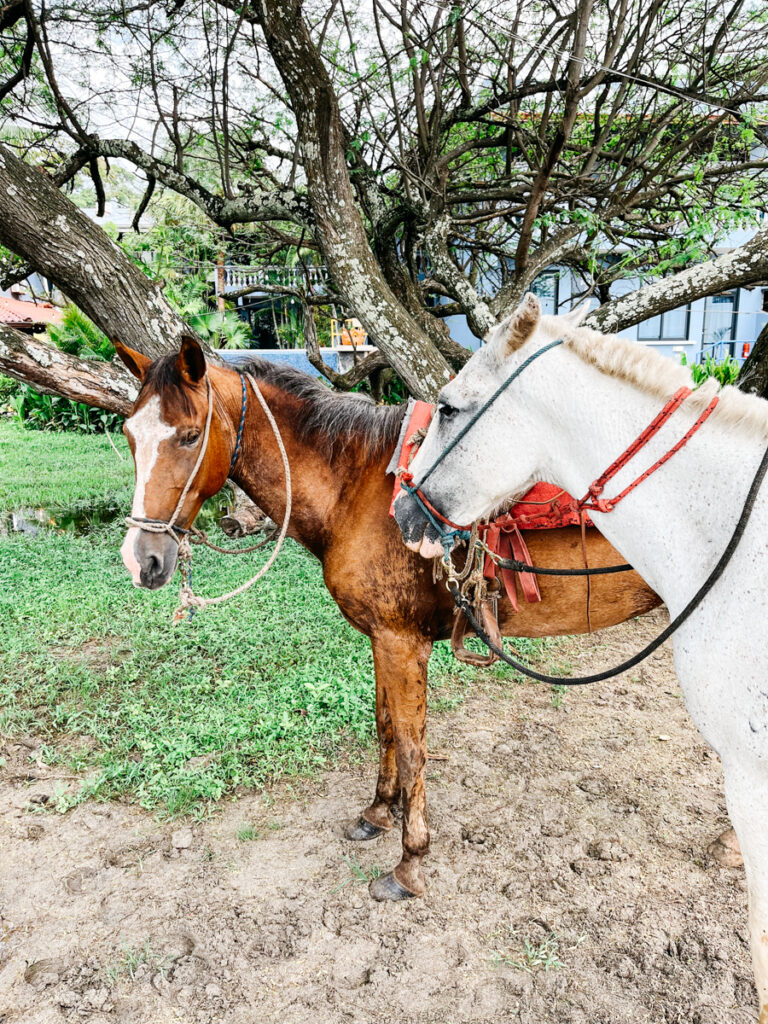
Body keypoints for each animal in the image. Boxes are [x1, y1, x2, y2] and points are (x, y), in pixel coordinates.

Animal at [114, 335, 660, 903]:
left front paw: (409, 862)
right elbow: (385, 727)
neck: (357, 487)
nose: (141, 559)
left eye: (190, 436)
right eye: (129, 433)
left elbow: (414, 747)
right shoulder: (381, 638)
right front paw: (379, 811)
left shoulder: (402, 642)